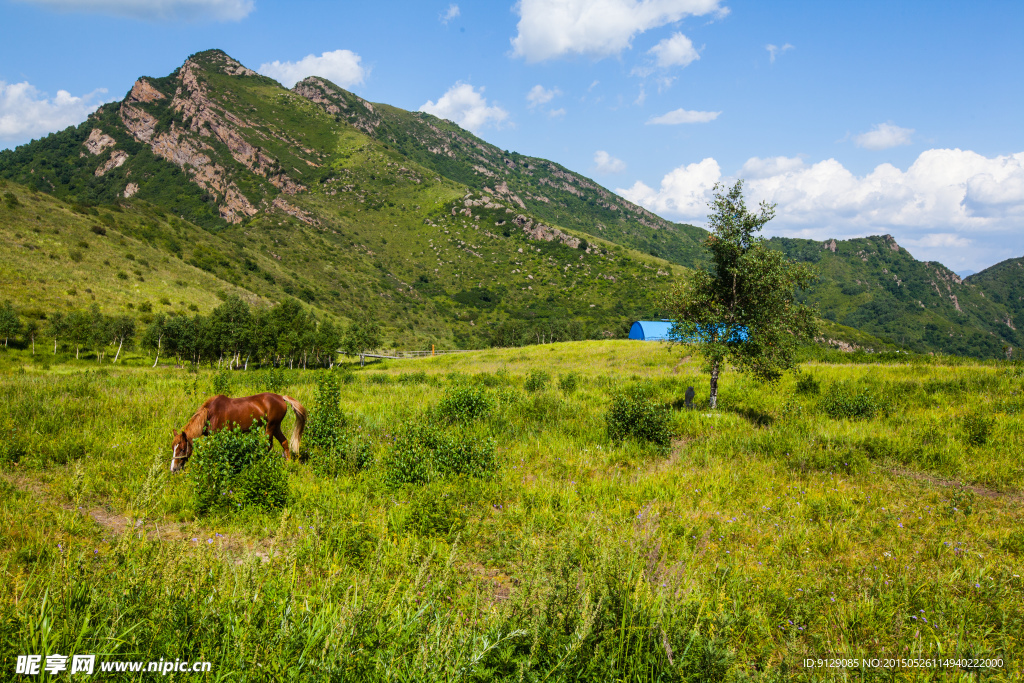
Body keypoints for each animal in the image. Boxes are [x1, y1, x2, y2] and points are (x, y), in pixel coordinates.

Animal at [172, 393, 305, 473]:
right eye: (173, 448)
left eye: (182, 449)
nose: (173, 468)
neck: (211, 414)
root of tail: (281, 397)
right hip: (276, 426)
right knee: (284, 442)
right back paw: (288, 465)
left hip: (270, 426)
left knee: (268, 445)